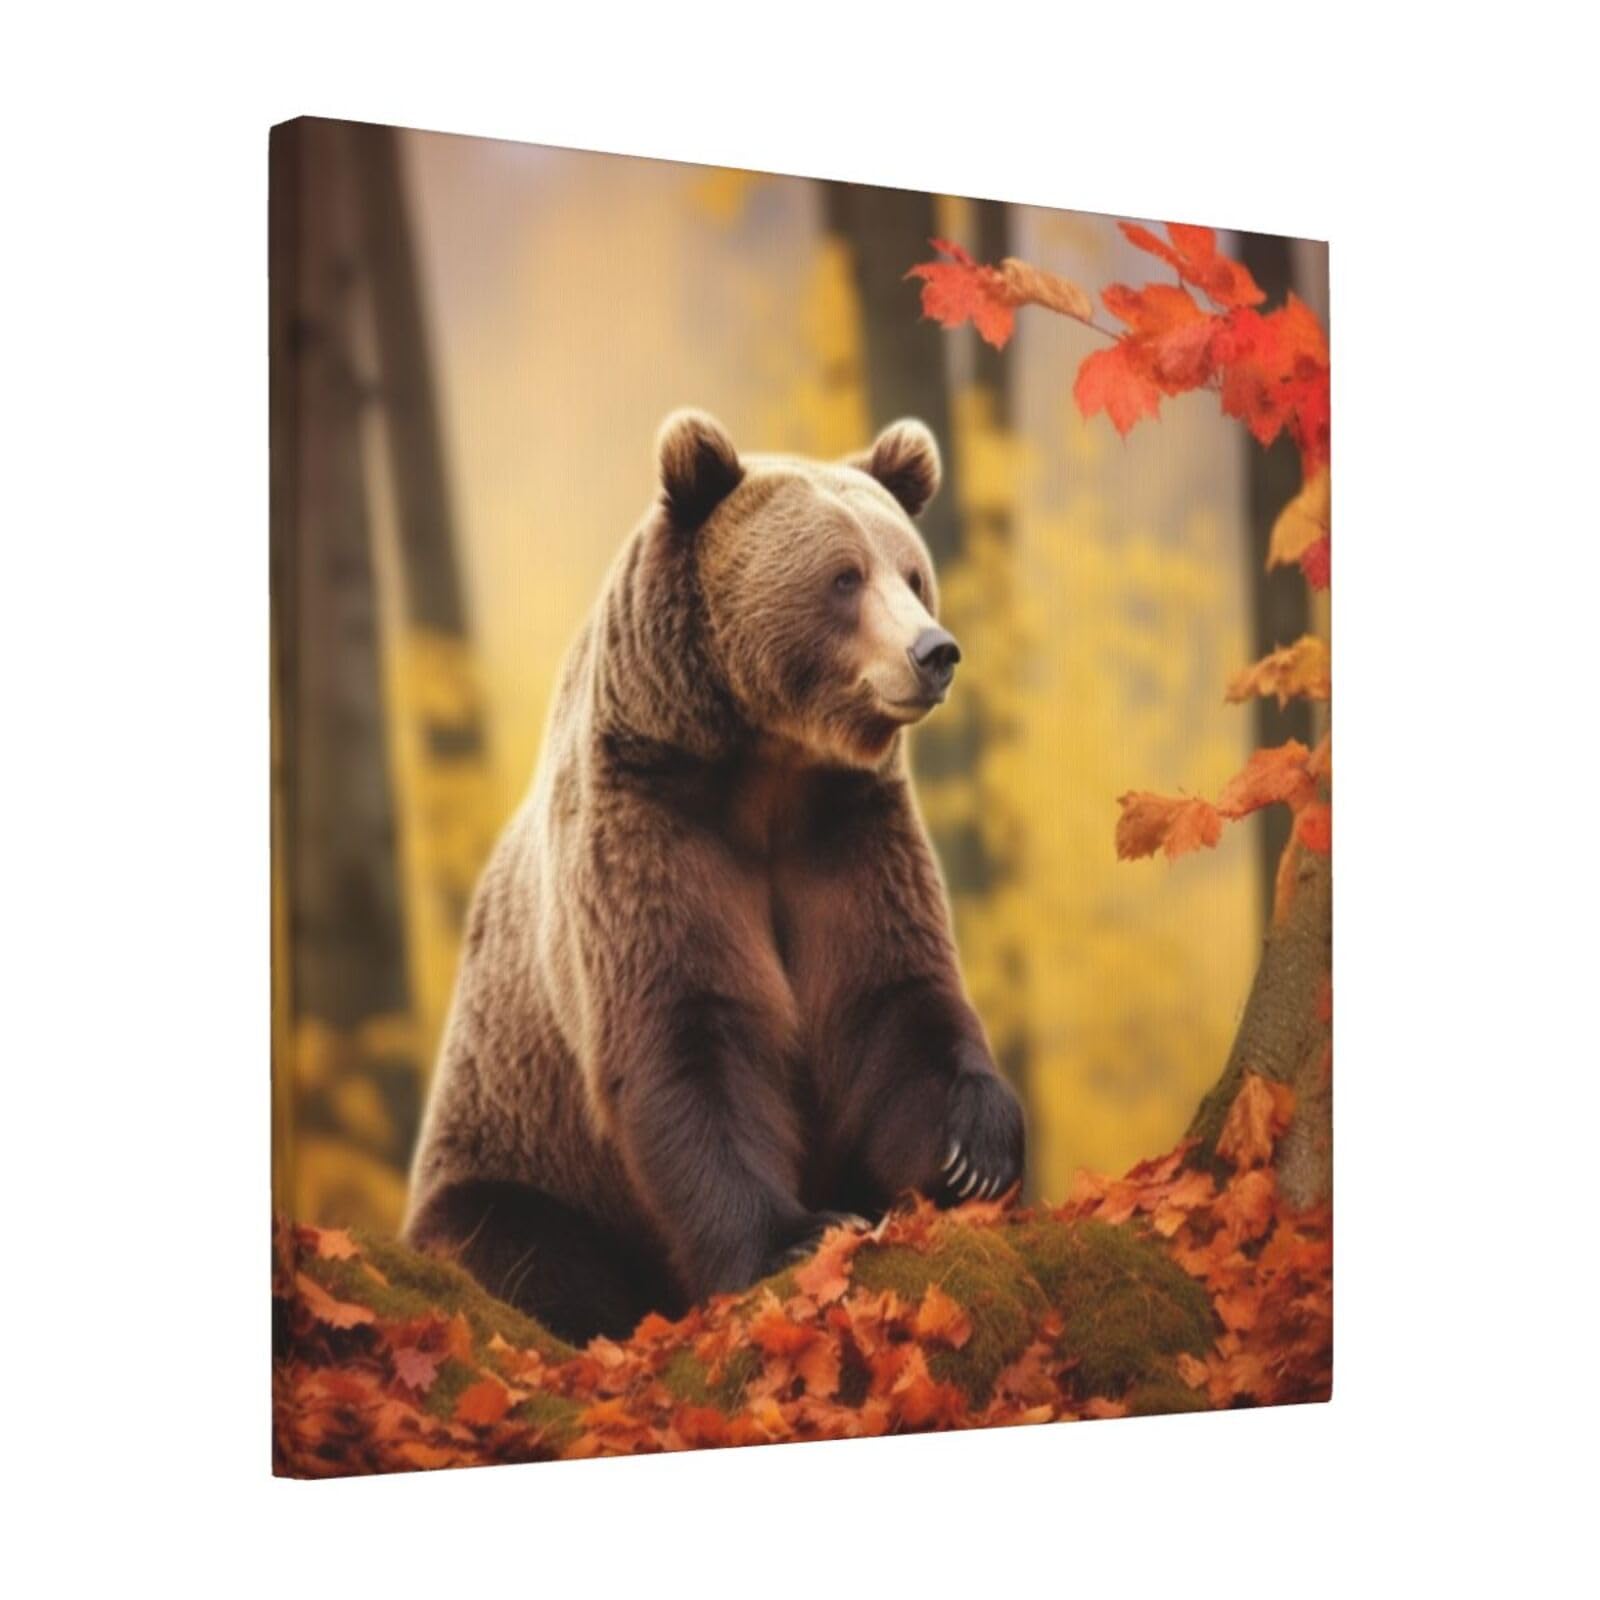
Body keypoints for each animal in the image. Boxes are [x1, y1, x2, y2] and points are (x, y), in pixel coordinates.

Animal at [404, 410, 1025, 1344]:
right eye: (844, 576)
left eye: (915, 574)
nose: (935, 652)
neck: (768, 769)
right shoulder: (653, 830)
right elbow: (691, 1030)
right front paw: (798, 1234)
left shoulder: (847, 837)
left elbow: (893, 998)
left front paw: (977, 1149)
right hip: (513, 1154)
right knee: (521, 1250)